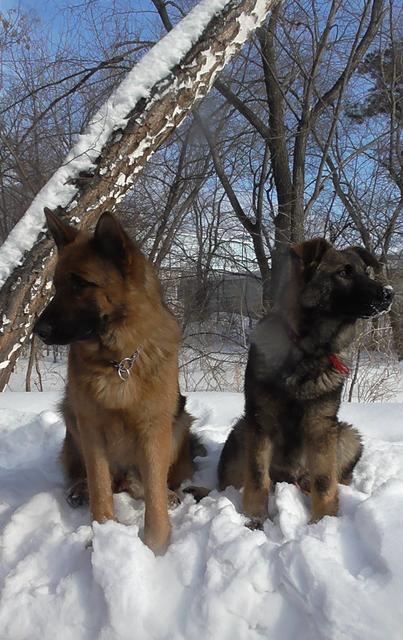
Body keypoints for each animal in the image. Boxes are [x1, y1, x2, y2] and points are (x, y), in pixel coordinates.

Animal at [34, 208, 202, 554]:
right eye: (56, 286)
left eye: (81, 284)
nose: (37, 331)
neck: (118, 362)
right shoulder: (91, 430)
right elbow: (100, 488)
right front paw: (103, 535)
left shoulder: (153, 430)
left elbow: (153, 495)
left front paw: (154, 547)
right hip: (71, 418)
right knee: (89, 475)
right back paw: (79, 488)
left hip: (179, 424)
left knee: (147, 483)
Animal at [217, 238, 394, 526]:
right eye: (344, 272)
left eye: (366, 272)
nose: (389, 293)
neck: (307, 351)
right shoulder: (261, 422)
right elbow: (257, 476)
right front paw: (255, 518)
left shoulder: (320, 427)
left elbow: (324, 481)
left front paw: (323, 521)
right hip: (242, 431)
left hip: (347, 436)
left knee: (328, 477)